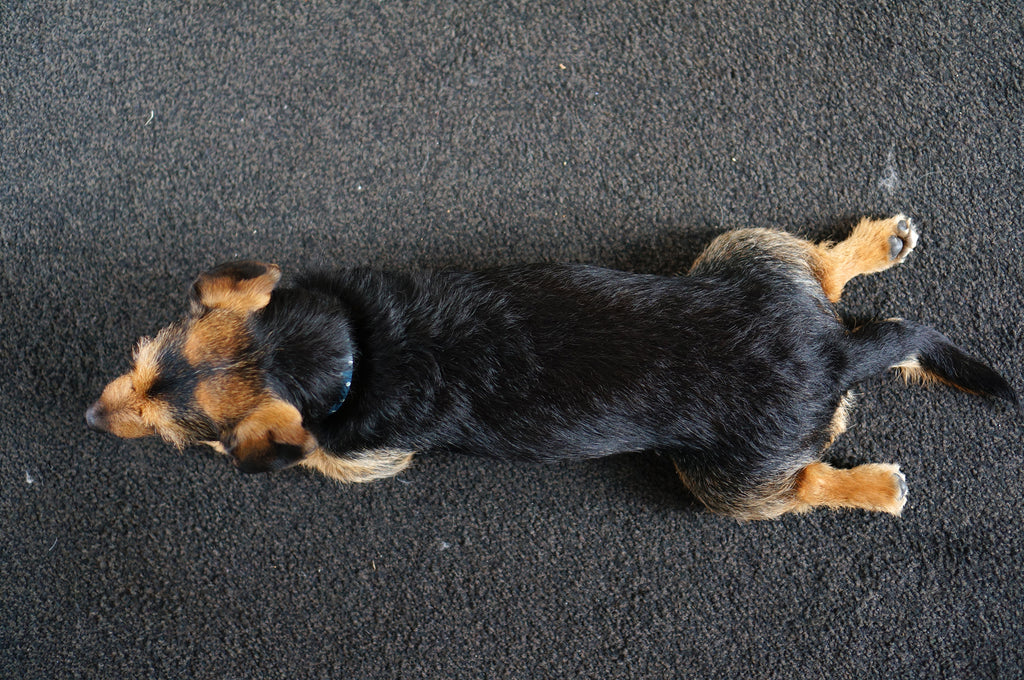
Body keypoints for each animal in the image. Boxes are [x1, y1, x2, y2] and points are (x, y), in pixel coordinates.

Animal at [86, 218, 1015, 520]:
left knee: (808, 483)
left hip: (728, 482)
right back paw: (878, 241)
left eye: (181, 436)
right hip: (743, 255)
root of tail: (833, 350)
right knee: (821, 268)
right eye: (139, 361)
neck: (347, 345)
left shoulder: (362, 460)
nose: (93, 415)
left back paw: (874, 488)